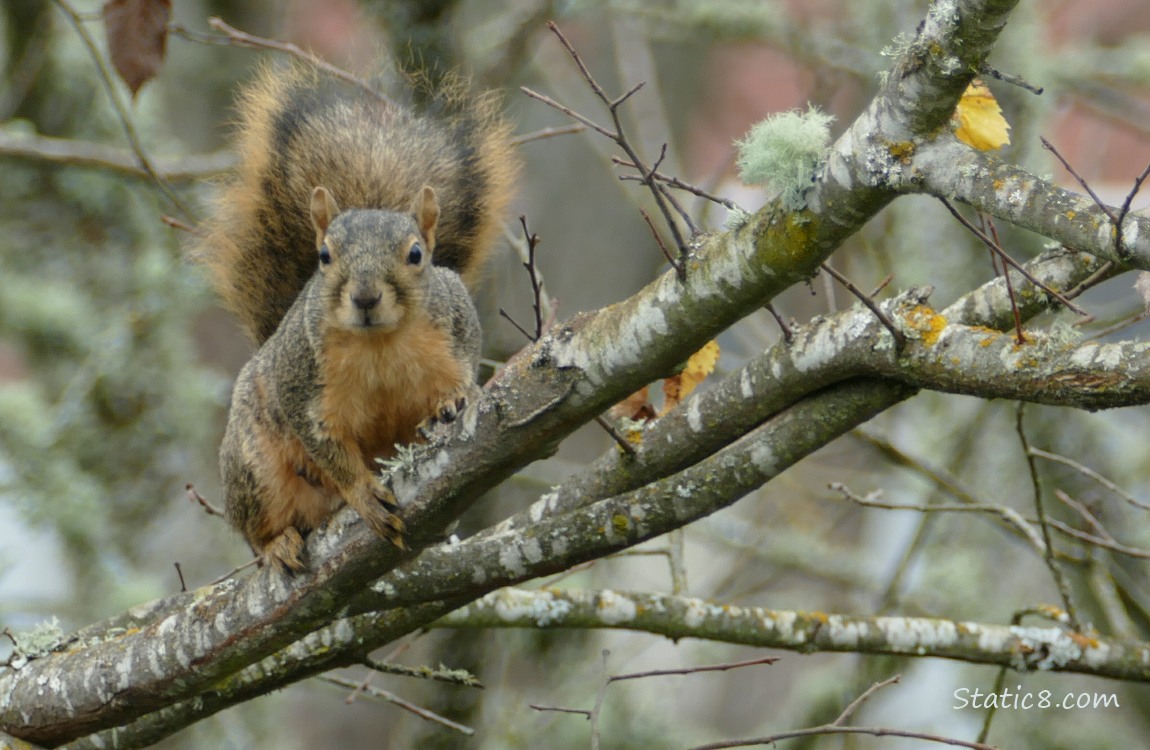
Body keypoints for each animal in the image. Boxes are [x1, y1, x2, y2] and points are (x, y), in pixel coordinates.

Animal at [196, 63, 519, 573]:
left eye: (416, 254)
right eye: (324, 256)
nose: (365, 297)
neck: (380, 343)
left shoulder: (455, 316)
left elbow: (468, 362)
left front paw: (456, 397)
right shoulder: (299, 382)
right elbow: (328, 449)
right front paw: (364, 494)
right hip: (253, 466)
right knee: (257, 527)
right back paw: (277, 544)